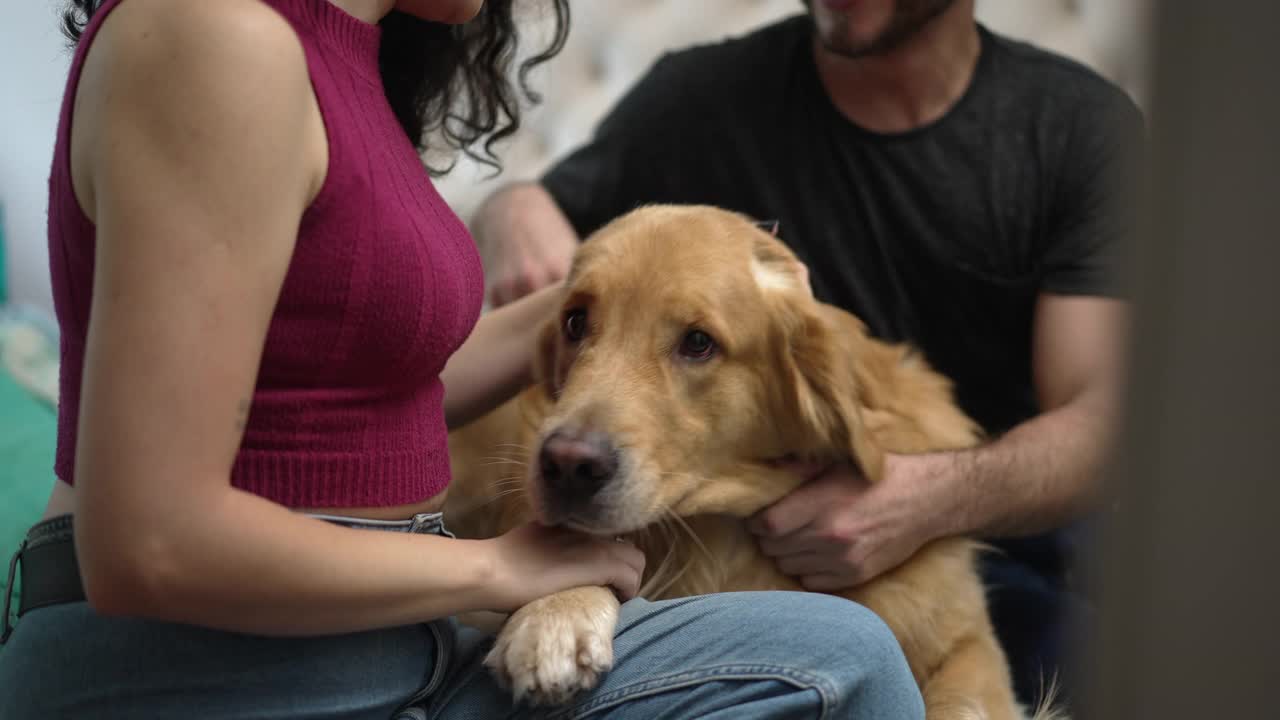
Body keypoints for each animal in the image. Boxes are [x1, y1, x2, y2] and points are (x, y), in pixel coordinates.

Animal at [445, 204, 1054, 712]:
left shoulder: (966, 644)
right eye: (575, 322)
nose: (567, 466)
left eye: (697, 342)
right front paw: (553, 614)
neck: (726, 534)